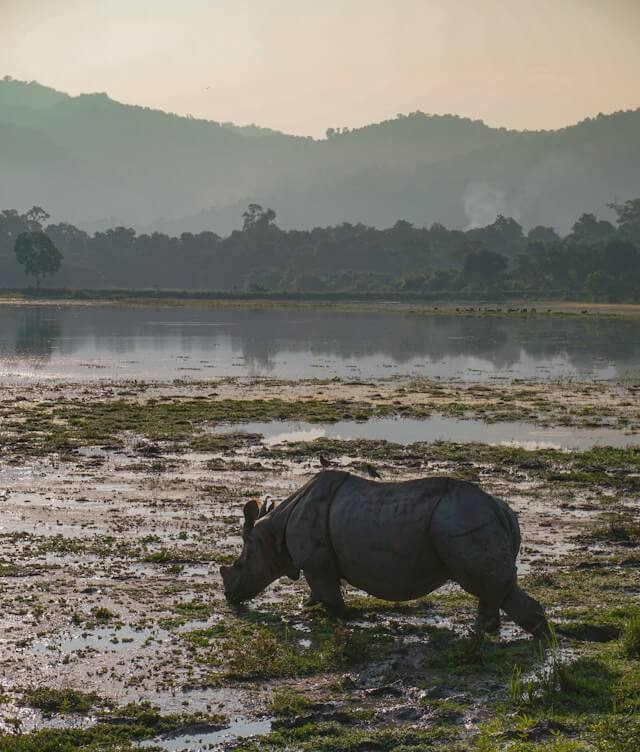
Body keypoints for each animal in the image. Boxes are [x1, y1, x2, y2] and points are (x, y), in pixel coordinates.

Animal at [220, 471, 551, 639]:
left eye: (239, 564)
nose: (229, 596)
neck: (272, 533)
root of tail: (501, 509)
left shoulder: (316, 562)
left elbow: (329, 594)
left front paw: (339, 617)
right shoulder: (318, 563)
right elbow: (321, 591)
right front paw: (311, 607)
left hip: (463, 518)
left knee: (488, 584)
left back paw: (544, 646)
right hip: (474, 517)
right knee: (490, 587)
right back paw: (484, 631)